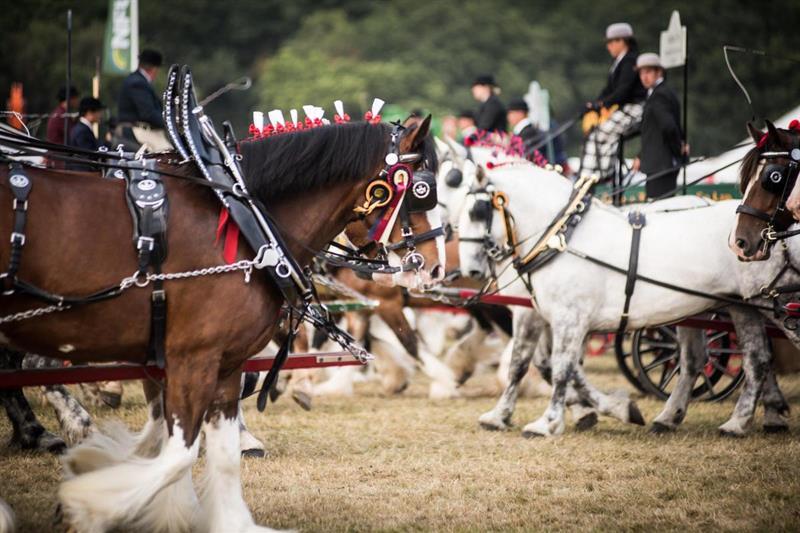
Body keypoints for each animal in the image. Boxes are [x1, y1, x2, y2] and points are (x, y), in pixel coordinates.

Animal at [0, 117, 440, 532]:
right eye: (421, 191)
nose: (434, 268)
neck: (245, 220)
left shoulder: (220, 362)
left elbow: (218, 453)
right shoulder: (193, 357)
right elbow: (178, 453)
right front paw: (86, 504)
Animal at [460, 163, 796, 436]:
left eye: (477, 212)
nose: (470, 269)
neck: (564, 237)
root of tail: (777, 230)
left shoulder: (570, 317)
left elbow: (561, 368)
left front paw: (549, 422)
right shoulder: (541, 315)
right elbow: (523, 363)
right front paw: (500, 416)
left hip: (777, 304)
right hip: (741, 306)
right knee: (748, 359)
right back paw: (730, 422)